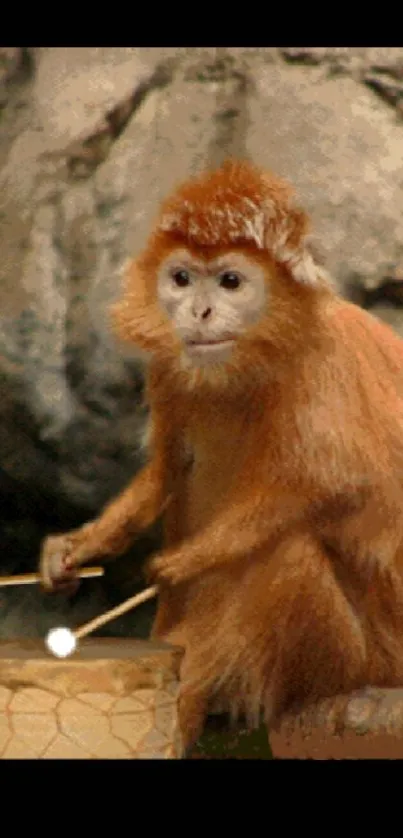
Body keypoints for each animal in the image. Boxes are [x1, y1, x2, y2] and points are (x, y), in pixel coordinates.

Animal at [40, 161, 403, 752]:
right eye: (182, 279)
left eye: (231, 282)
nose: (200, 310)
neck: (250, 361)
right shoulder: (171, 369)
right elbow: (169, 471)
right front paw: (75, 550)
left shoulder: (325, 361)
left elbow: (340, 483)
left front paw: (182, 563)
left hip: (365, 659)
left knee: (286, 552)